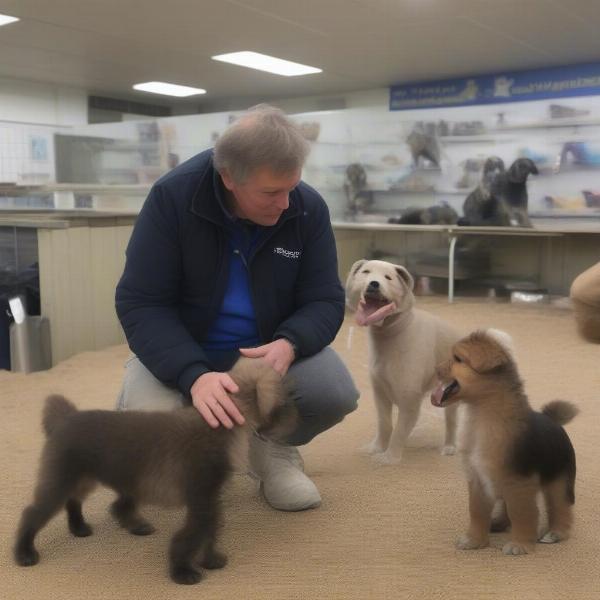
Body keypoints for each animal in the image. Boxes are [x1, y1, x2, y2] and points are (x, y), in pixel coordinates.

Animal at [13, 358, 296, 584]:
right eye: (285, 401)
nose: (299, 418)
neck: (217, 428)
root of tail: (65, 418)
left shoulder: (210, 500)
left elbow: (212, 530)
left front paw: (211, 559)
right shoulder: (201, 501)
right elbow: (191, 536)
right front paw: (182, 571)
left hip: (87, 478)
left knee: (93, 503)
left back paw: (86, 527)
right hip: (60, 481)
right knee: (32, 514)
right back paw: (24, 553)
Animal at [344, 258, 462, 464]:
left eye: (388, 277)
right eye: (366, 272)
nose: (373, 284)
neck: (391, 333)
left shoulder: (410, 401)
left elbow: (399, 431)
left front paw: (389, 458)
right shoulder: (380, 393)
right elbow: (384, 424)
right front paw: (376, 448)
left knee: (451, 421)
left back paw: (449, 447)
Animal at [432, 330, 576, 556]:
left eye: (458, 359)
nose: (435, 369)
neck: (482, 413)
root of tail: (553, 421)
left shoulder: (519, 483)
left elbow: (522, 514)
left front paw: (520, 544)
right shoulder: (478, 480)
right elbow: (477, 512)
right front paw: (475, 540)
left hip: (559, 481)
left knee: (561, 507)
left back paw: (556, 533)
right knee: (505, 508)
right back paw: (498, 523)